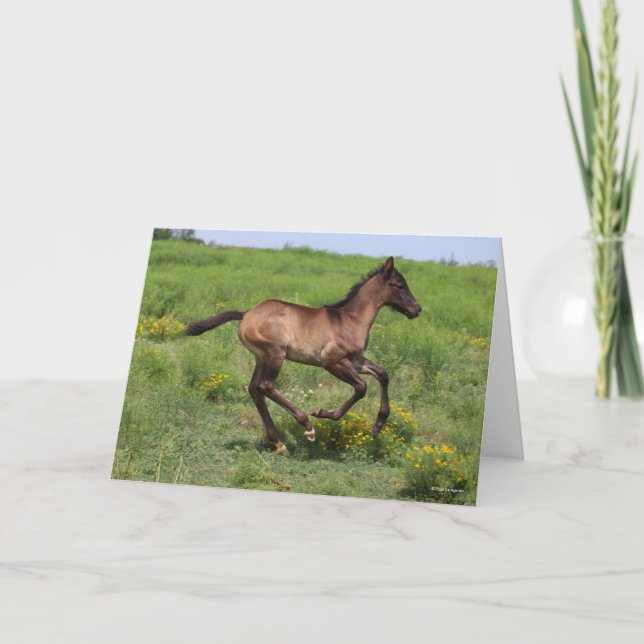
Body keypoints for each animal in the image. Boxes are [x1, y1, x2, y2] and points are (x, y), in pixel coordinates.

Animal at [185, 256, 421, 453]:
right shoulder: (332, 361)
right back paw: (306, 426)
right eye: (400, 285)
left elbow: (383, 373)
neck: (352, 319)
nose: (417, 309)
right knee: (265, 386)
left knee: (254, 389)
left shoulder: (355, 360)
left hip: (262, 357)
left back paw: (279, 443)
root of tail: (247, 314)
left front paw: (377, 427)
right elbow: (361, 387)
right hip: (275, 355)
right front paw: (321, 412)